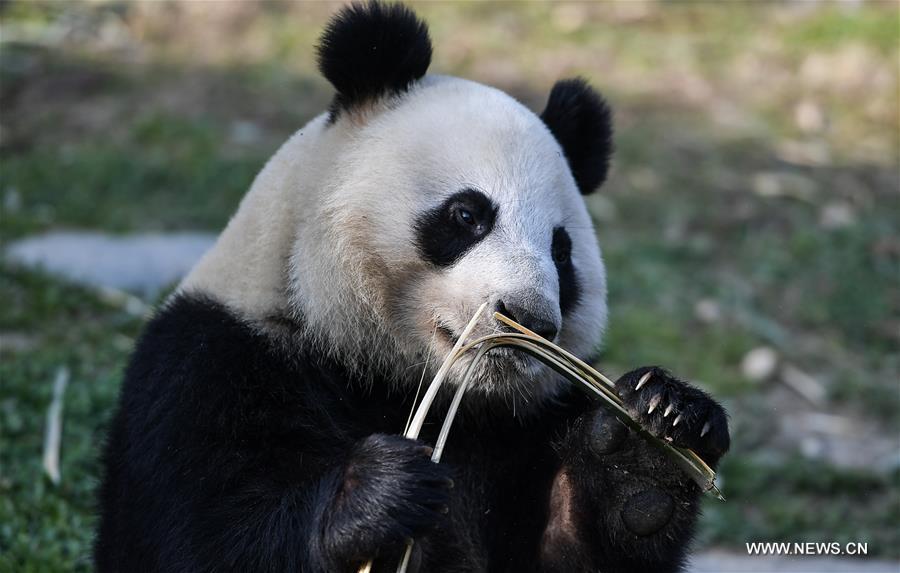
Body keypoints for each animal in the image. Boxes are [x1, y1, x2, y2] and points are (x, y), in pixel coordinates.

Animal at [95, 3, 729, 572]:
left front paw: (652, 445)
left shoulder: (530, 421)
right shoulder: (211, 368)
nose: (527, 319)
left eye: (561, 251)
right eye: (468, 215)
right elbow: (201, 540)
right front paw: (379, 490)